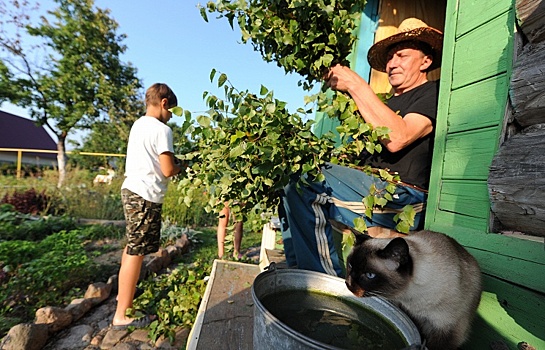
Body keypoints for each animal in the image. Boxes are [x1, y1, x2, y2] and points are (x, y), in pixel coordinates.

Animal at [344, 231, 480, 348]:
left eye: (369, 275)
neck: (411, 299)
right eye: (350, 265)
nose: (348, 284)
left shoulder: (445, 331)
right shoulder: (409, 314)